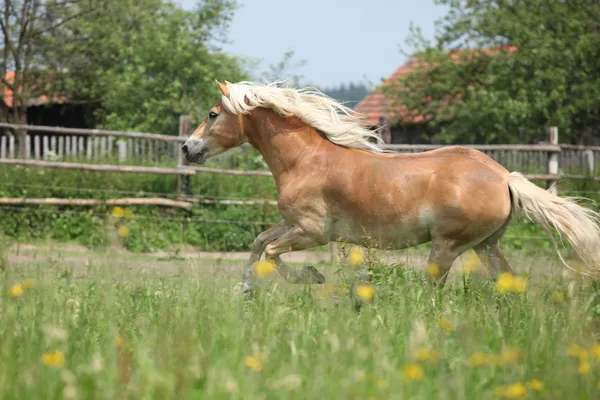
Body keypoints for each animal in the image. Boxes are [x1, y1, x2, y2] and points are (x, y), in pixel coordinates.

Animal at [182, 80, 600, 294]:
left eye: (213, 114)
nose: (187, 148)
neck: (306, 160)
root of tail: (504, 177)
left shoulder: (313, 232)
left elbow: (271, 252)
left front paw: (313, 277)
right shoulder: (293, 224)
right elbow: (258, 243)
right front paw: (244, 290)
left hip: (447, 247)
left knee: (434, 291)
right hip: (485, 245)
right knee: (510, 282)